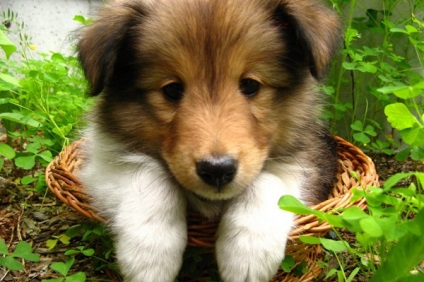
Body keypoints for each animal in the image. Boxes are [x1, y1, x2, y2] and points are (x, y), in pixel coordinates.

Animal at [76, 0, 342, 280]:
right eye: (172, 89)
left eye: (250, 85)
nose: (217, 170)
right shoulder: (100, 167)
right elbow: (148, 173)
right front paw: (150, 256)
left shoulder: (312, 163)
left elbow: (267, 179)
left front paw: (248, 254)